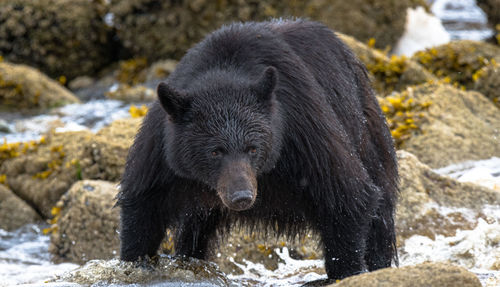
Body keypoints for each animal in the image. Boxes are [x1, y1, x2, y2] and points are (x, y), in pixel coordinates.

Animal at [118, 19, 398, 282]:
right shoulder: (162, 153)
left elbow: (348, 195)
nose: (241, 196)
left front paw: (344, 273)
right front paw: (134, 263)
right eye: (215, 152)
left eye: (252, 148)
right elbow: (143, 207)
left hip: (367, 132)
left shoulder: (303, 129)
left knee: (381, 215)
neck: (226, 69)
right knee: (194, 228)